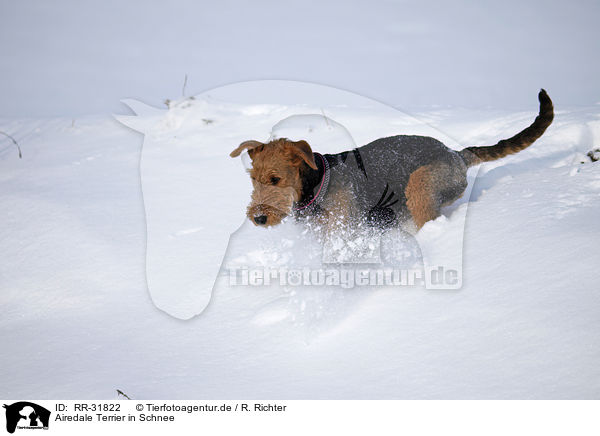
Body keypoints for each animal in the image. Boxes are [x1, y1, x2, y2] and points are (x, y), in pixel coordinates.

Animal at [230, 89, 552, 232]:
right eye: (253, 180)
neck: (317, 184)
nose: (259, 218)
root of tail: (457, 154)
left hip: (420, 186)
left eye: (275, 179)